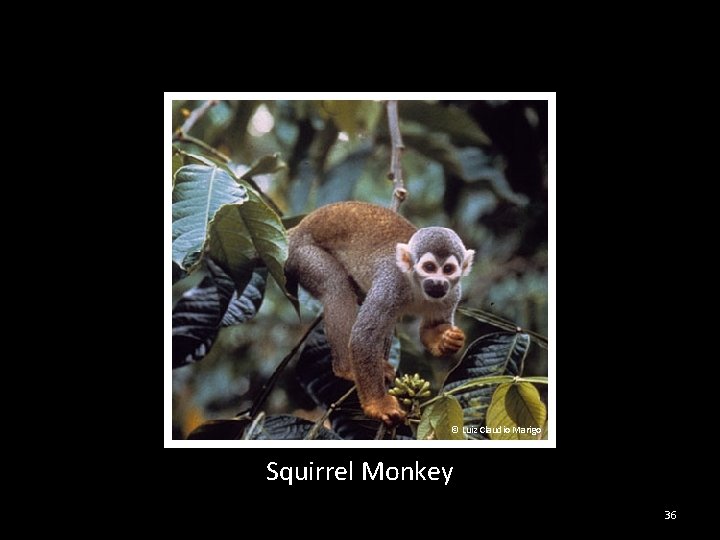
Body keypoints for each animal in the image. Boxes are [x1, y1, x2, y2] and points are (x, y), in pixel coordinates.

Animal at [285, 202, 475, 425]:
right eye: (429, 267)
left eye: (448, 269)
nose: (438, 283)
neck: (417, 287)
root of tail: (298, 228)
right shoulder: (392, 282)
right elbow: (363, 336)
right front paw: (378, 405)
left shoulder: (453, 293)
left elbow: (430, 329)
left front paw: (447, 339)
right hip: (302, 256)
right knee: (336, 286)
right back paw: (346, 369)